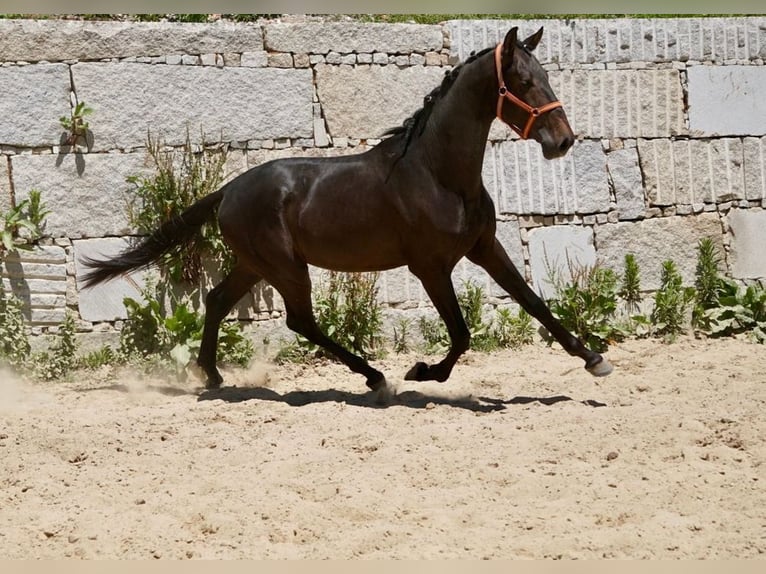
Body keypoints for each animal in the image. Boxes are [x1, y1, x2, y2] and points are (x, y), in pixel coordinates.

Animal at [81, 27, 616, 402]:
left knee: (216, 301)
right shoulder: (430, 267)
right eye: (523, 81)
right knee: (300, 321)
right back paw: (374, 376)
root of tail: (229, 189)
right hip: (285, 267)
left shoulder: (483, 247)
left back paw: (211, 374)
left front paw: (594, 359)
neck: (438, 173)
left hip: (255, 264)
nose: (563, 141)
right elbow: (463, 334)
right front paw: (423, 371)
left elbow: (533, 302)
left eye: (546, 76)